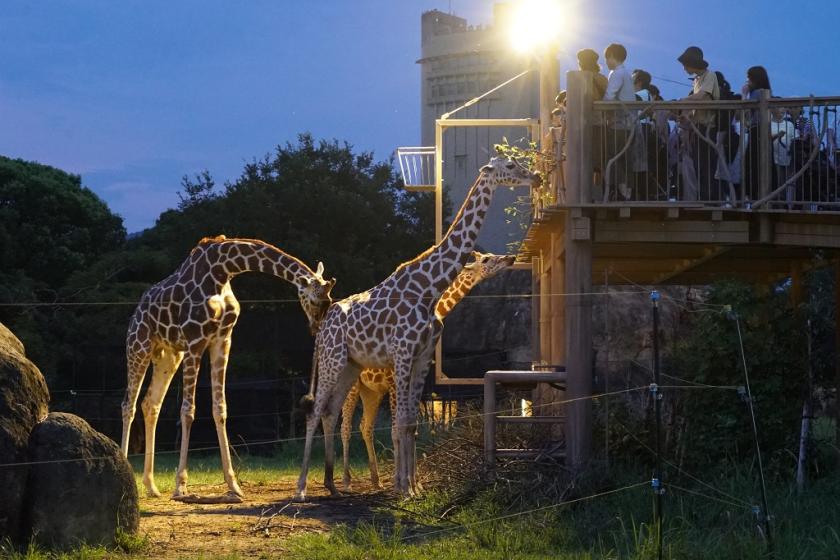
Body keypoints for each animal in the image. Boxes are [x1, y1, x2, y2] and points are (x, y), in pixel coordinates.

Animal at [120, 235, 334, 498]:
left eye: (329, 301)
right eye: (314, 300)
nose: (316, 328)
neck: (223, 271)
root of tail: (138, 309)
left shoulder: (222, 339)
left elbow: (220, 408)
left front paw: (233, 485)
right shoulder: (195, 340)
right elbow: (188, 411)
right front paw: (181, 485)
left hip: (169, 355)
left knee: (150, 404)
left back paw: (151, 486)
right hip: (139, 345)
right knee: (128, 405)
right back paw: (127, 472)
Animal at [340, 253, 516, 490]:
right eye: (486, 260)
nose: (510, 258)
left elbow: (410, 429)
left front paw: (414, 484)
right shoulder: (395, 381)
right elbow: (396, 430)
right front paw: (400, 483)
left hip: (371, 391)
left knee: (365, 426)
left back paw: (375, 480)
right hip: (353, 385)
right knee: (345, 426)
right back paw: (345, 481)